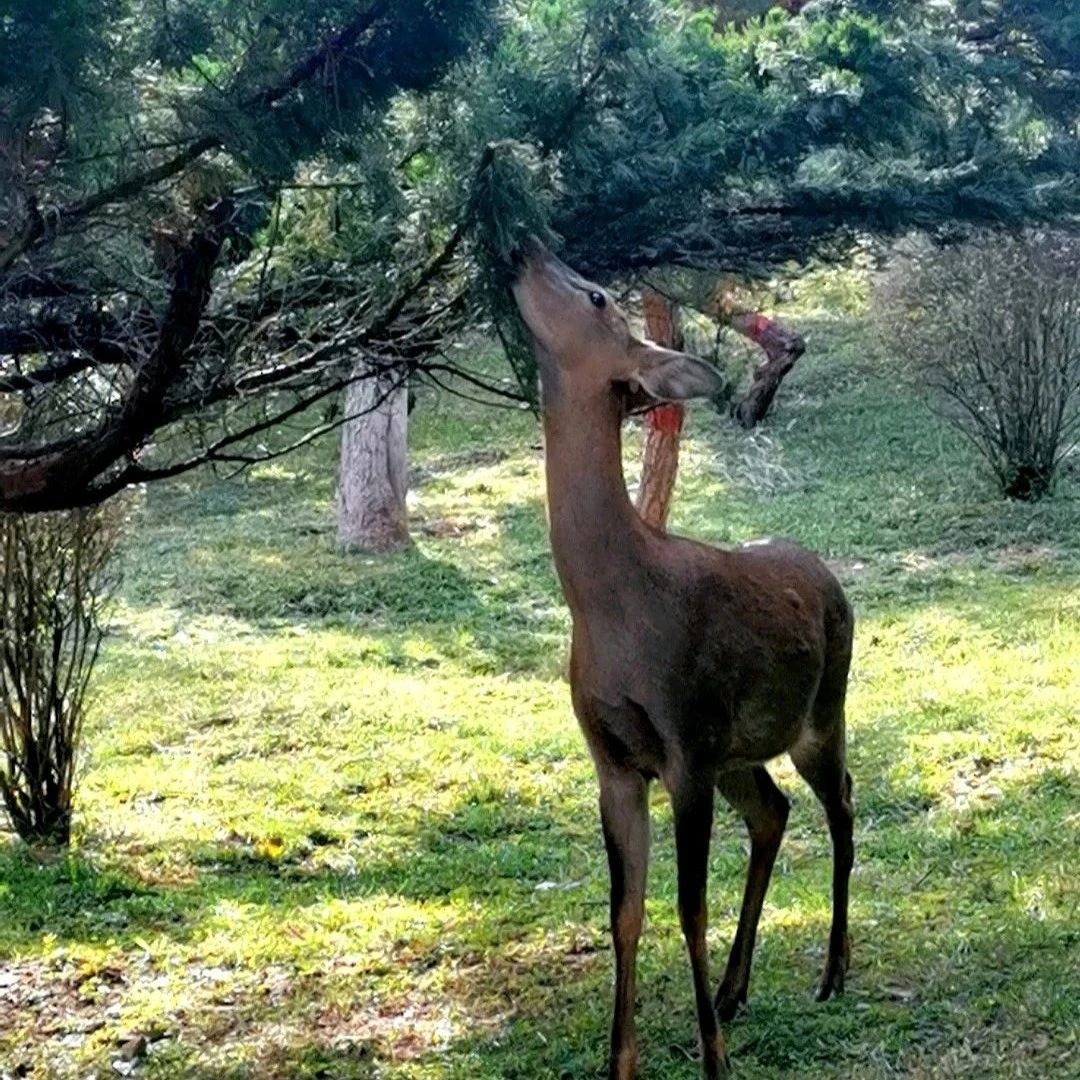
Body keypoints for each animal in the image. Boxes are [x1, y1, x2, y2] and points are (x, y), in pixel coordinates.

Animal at [509, 240, 855, 1080]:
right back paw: (734, 991)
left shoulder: (686, 745)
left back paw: (833, 970)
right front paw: (621, 1063)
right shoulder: (615, 759)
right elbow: (625, 913)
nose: (523, 247)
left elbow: (689, 907)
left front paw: (714, 1063)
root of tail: (830, 576)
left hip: (820, 711)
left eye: (596, 295)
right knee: (773, 812)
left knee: (841, 804)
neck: (615, 609)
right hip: (741, 749)